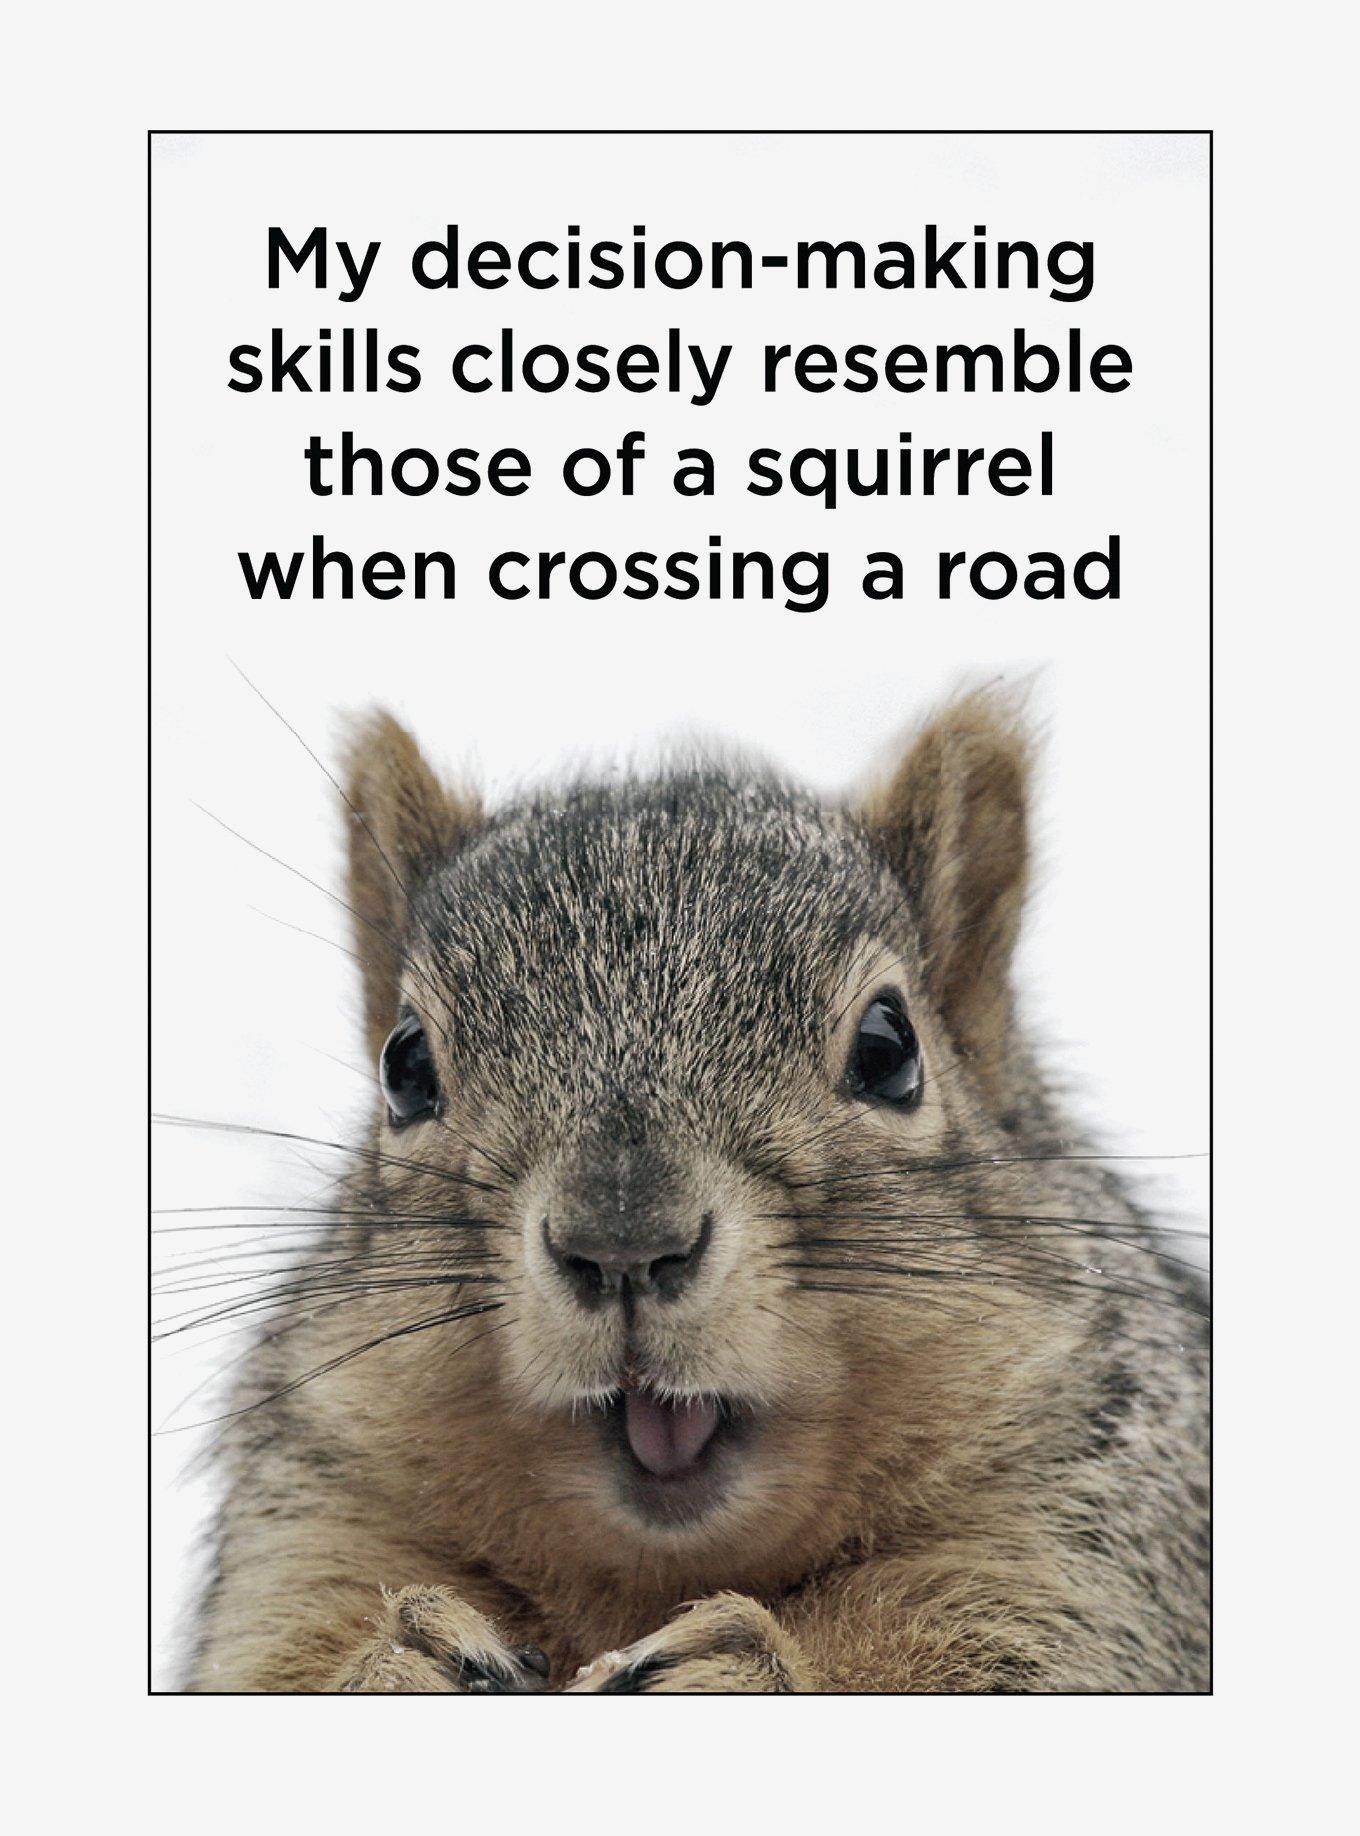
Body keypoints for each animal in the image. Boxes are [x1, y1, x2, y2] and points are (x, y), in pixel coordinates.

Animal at [183, 688, 1208, 1692]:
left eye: (890, 1048)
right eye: (404, 1068)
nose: (623, 1244)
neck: (657, 1575)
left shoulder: (1071, 1544)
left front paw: (739, 1664)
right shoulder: (315, 1525)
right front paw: (410, 1655)